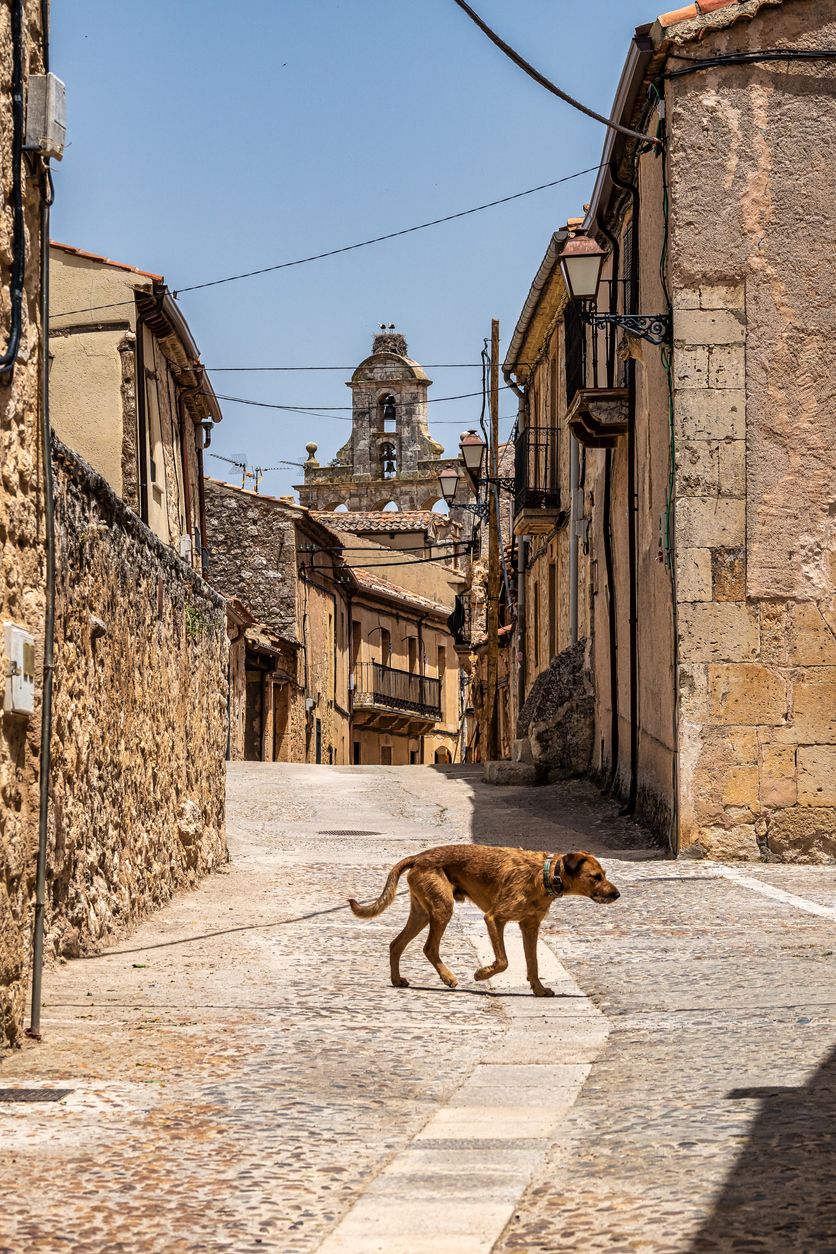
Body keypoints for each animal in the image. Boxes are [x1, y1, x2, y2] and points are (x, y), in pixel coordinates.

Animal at [350, 847, 619, 993]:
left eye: (604, 874)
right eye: (596, 877)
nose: (616, 894)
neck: (545, 875)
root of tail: (419, 856)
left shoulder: (530, 926)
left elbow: (533, 963)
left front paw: (539, 990)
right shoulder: (494, 918)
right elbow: (503, 961)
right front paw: (482, 974)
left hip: (422, 913)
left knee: (396, 944)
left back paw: (397, 979)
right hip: (442, 909)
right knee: (429, 948)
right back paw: (448, 978)